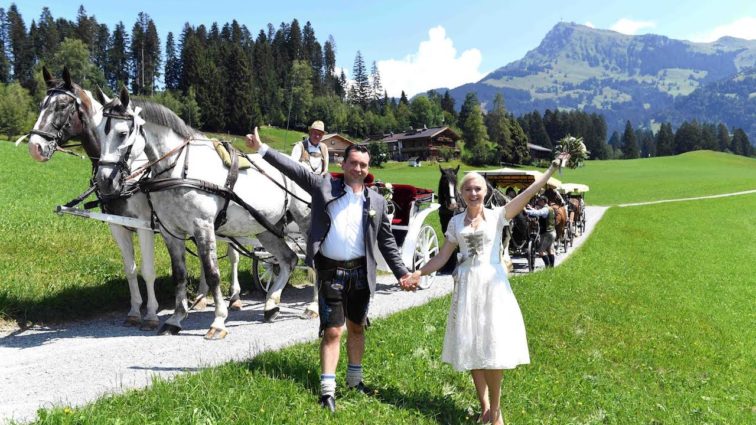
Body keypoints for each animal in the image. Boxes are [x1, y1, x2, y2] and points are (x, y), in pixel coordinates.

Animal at [26, 68, 241, 330]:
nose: (35, 147)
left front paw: (150, 315)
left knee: (233, 255)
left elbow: (148, 270)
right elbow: (130, 269)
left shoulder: (144, 225)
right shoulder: (117, 225)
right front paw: (134, 311)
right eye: (41, 104)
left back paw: (235, 297)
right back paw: (200, 297)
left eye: (62, 105)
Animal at [94, 87, 314, 338]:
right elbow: (179, 275)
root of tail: (302, 167)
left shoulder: (203, 226)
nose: (104, 181)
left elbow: (212, 273)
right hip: (266, 227)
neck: (180, 168)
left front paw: (218, 321)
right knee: (288, 259)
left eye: (122, 133)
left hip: (306, 223)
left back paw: (313, 307)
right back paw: (271, 304)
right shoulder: (172, 232)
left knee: (314, 260)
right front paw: (176, 319)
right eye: (98, 131)